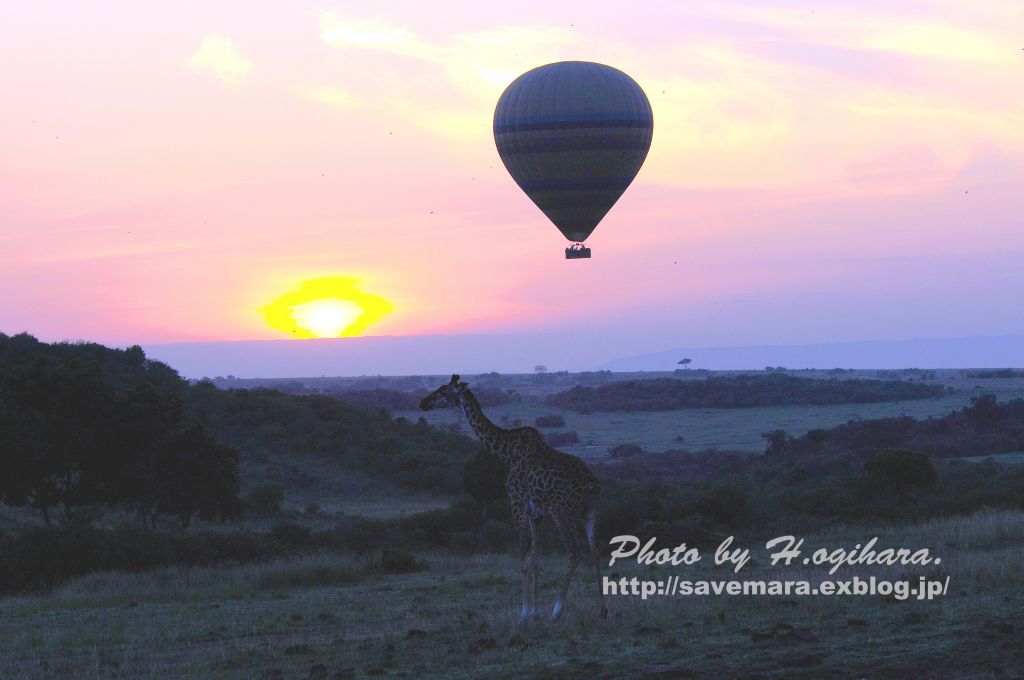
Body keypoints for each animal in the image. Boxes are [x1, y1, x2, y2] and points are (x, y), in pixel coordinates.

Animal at [417, 374, 602, 622]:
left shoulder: (516, 503)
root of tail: (592, 485)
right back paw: (603, 610)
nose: (423, 403)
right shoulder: (536, 513)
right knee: (595, 550)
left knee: (576, 550)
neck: (508, 452)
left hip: (562, 512)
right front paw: (534, 611)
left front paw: (524, 613)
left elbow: (524, 557)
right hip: (590, 511)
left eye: (444, 391)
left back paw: (556, 611)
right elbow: (535, 559)